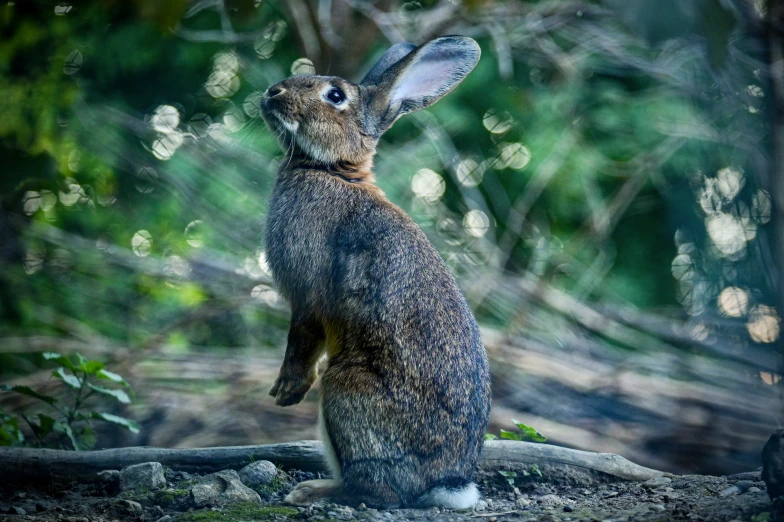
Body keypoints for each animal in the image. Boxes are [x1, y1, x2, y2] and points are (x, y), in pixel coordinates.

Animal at [260, 35, 490, 508]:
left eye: (334, 95)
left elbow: (301, 338)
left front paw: (287, 391)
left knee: (377, 490)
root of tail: (443, 483)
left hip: (344, 389)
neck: (334, 171)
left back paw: (313, 492)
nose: (272, 92)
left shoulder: (307, 294)